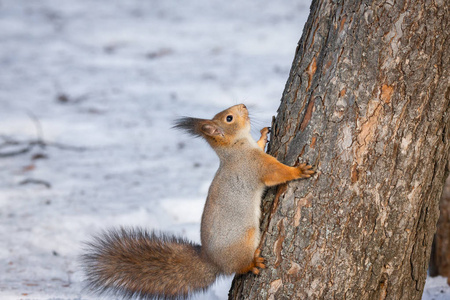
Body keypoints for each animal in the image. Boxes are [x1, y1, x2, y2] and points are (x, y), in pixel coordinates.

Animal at [82, 103, 314, 300]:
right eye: (229, 118)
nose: (244, 105)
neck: (235, 149)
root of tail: (212, 261)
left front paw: (263, 134)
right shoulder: (254, 165)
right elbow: (277, 173)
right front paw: (298, 171)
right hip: (244, 240)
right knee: (239, 266)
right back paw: (252, 263)